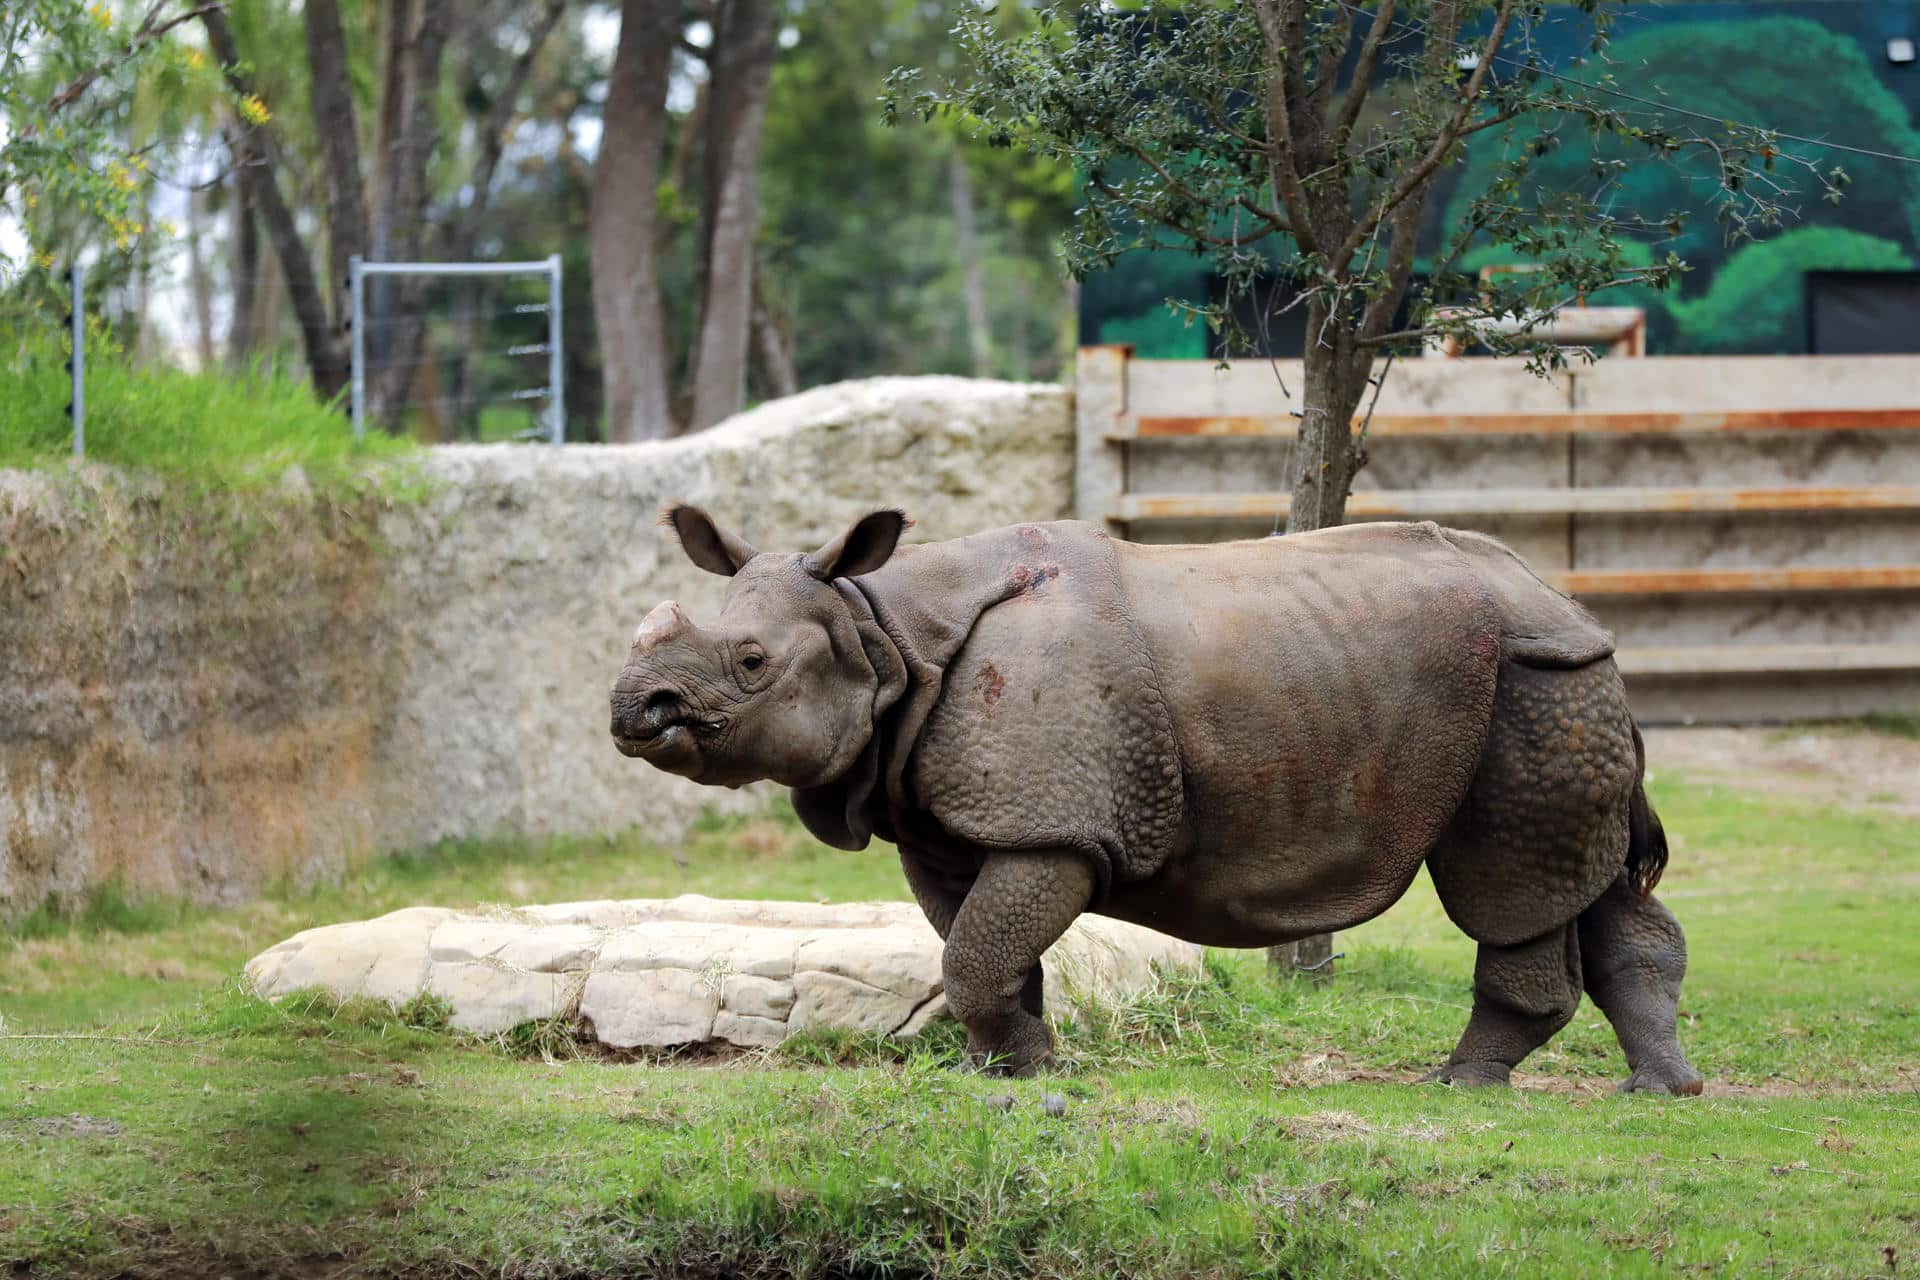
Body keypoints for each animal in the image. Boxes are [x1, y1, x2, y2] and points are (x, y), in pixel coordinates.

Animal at [610, 507, 1704, 1094]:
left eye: (751, 663)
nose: (633, 709)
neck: (882, 628)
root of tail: (1576, 606)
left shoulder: (1060, 824)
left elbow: (977, 953)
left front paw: (1024, 1074)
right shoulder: (953, 824)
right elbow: (984, 948)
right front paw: (1011, 1071)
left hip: (1534, 678)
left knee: (1509, 887)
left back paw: (1460, 1083)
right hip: (1557, 680)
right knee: (1587, 879)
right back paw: (1661, 1086)